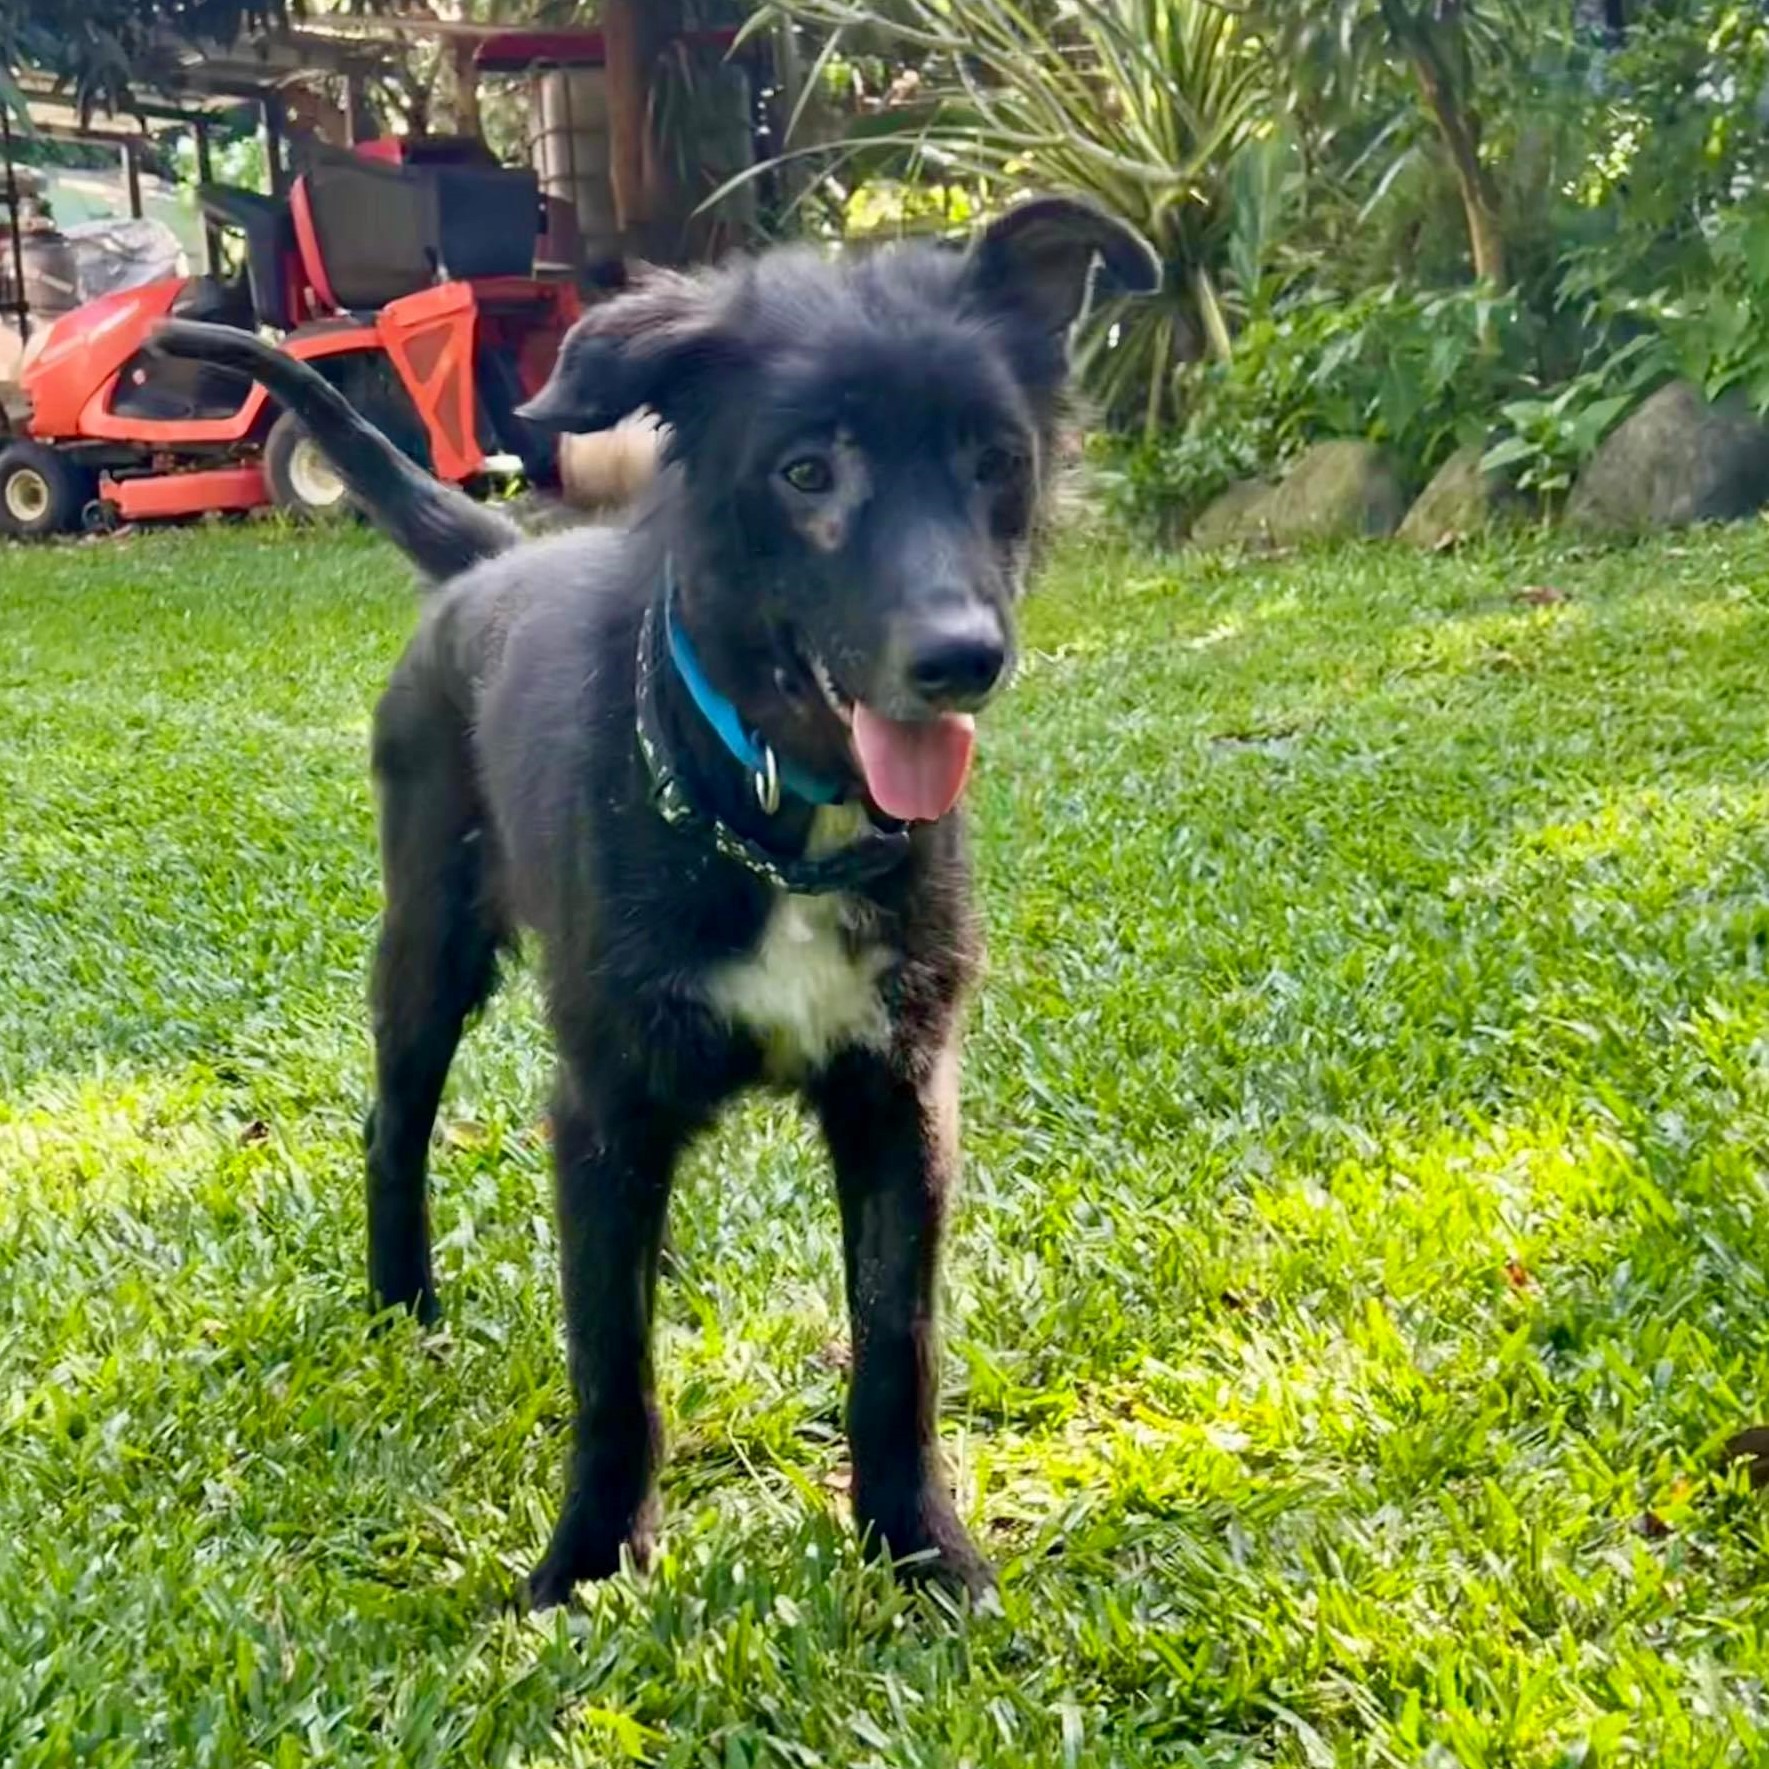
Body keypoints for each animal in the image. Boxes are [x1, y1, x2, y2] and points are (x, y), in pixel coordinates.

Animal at [159, 200, 1160, 1613]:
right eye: (806, 472)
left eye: (993, 461)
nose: (962, 658)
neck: (773, 814)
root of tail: (490, 561)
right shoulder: (606, 1095)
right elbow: (610, 1365)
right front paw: (586, 1561)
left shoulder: (900, 1091)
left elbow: (893, 1344)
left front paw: (918, 1545)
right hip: (428, 943)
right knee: (392, 1123)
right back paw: (402, 1303)